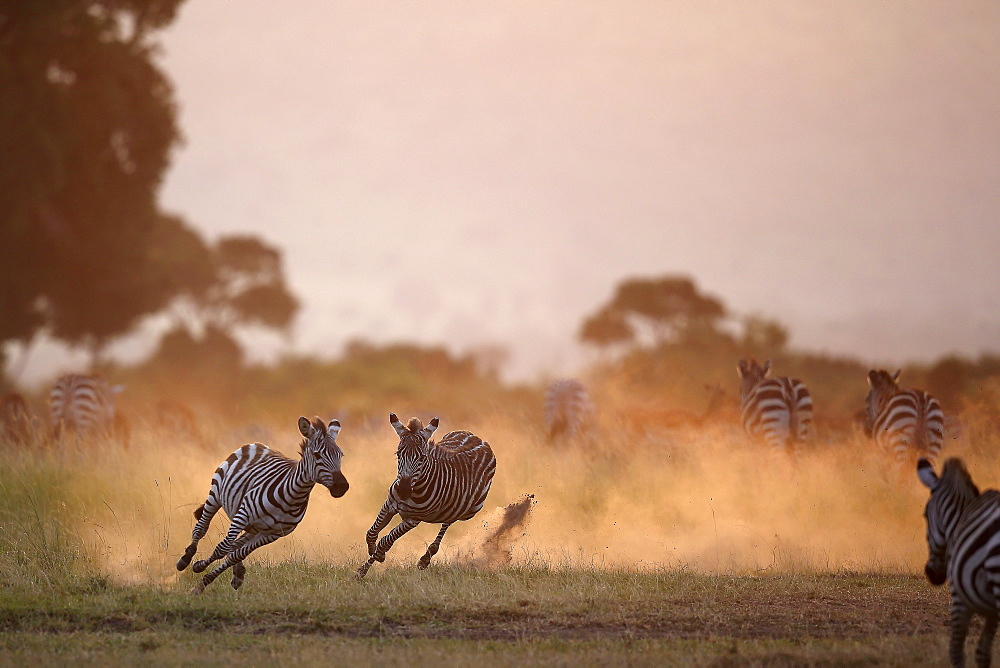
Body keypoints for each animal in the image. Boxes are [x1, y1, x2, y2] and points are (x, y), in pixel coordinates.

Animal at [178, 414, 350, 592]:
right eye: (317, 456)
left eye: (340, 455)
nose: (342, 486)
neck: (292, 497)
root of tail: (259, 444)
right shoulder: (243, 514)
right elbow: (222, 548)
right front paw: (199, 569)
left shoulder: (273, 534)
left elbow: (236, 554)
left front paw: (206, 580)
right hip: (216, 494)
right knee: (202, 528)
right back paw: (186, 559)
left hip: (254, 528)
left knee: (235, 545)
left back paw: (238, 574)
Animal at [358, 412, 498, 580]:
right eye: (398, 454)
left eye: (422, 458)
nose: (403, 491)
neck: (415, 488)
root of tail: (480, 440)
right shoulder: (389, 504)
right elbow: (371, 533)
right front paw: (372, 553)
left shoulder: (412, 520)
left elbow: (385, 541)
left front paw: (366, 567)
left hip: (469, 511)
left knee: (448, 521)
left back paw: (426, 557)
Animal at [916, 460, 1000, 668]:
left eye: (925, 515)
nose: (932, 574)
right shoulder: (992, 610)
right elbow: (983, 654)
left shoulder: (959, 597)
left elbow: (956, 651)